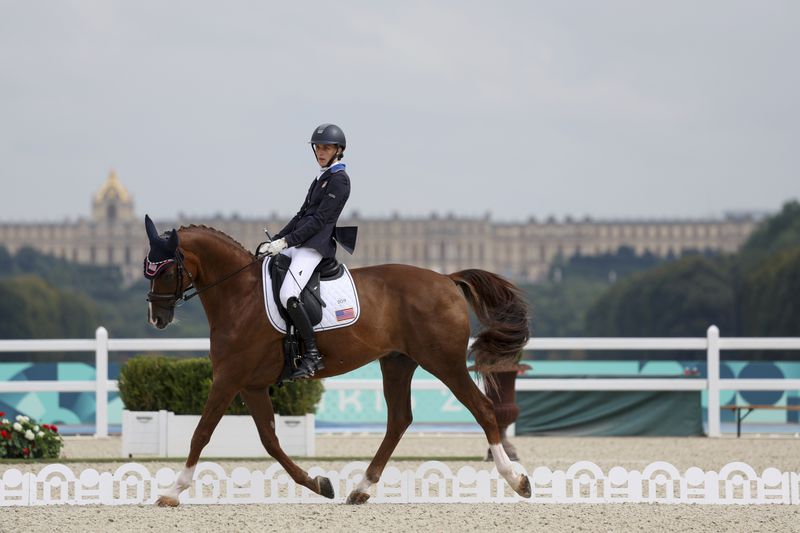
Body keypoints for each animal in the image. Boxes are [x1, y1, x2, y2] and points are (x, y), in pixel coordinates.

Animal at [145, 219, 532, 502]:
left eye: (163, 270)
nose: (157, 319)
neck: (240, 295)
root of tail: (446, 279)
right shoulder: (251, 384)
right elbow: (270, 440)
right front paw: (319, 483)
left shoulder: (228, 378)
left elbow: (201, 433)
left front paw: (173, 490)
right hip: (397, 362)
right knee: (399, 420)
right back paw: (361, 488)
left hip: (444, 362)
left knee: (483, 409)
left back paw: (517, 479)